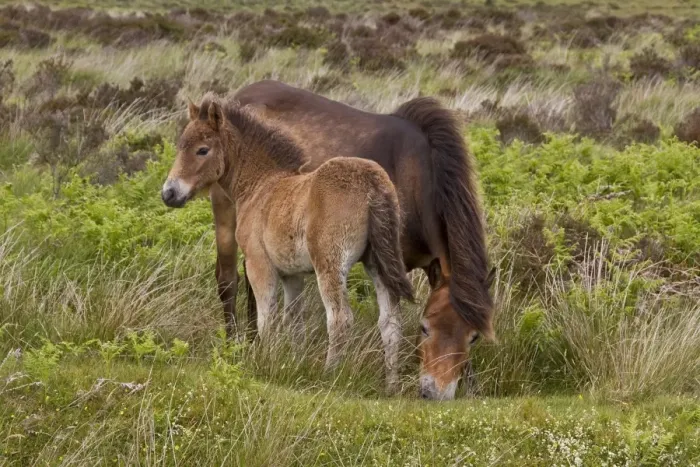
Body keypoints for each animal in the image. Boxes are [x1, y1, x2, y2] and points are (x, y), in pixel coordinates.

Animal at [161, 94, 414, 392]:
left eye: (202, 150)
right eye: (180, 146)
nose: (169, 193)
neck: (261, 186)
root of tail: (371, 182)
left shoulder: (259, 264)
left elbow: (266, 317)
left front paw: (264, 363)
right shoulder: (292, 275)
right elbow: (293, 321)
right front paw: (292, 363)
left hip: (330, 265)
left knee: (339, 318)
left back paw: (329, 375)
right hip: (378, 263)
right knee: (390, 323)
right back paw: (391, 385)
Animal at [215, 80, 496, 400]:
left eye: (473, 338)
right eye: (424, 328)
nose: (434, 394)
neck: (413, 175)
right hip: (226, 221)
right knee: (229, 281)